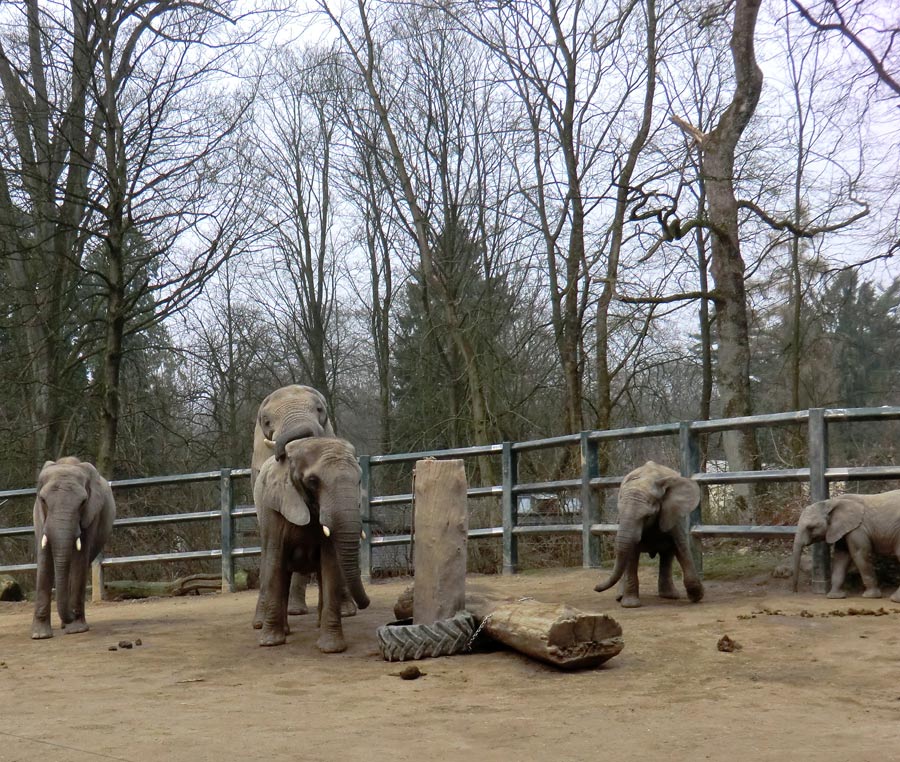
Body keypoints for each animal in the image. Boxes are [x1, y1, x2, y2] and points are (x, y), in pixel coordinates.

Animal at [30, 454, 116, 640]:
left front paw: (76, 629)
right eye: (43, 500)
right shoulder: (40, 516)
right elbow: (44, 559)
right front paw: (40, 636)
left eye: (83, 502)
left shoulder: (91, 514)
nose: (71, 615)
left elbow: (80, 559)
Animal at [253, 434, 370, 648]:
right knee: (270, 566)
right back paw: (271, 628)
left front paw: (331, 648)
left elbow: (331, 564)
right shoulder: (275, 507)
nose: (365, 603)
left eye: (359, 480)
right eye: (313, 481)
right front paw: (270, 643)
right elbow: (275, 559)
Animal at [596, 460, 704, 608]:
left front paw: (696, 597)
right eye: (619, 513)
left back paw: (670, 596)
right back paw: (620, 597)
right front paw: (630, 605)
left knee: (667, 554)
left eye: (647, 516)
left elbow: (681, 547)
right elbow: (631, 553)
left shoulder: (672, 513)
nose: (595, 588)